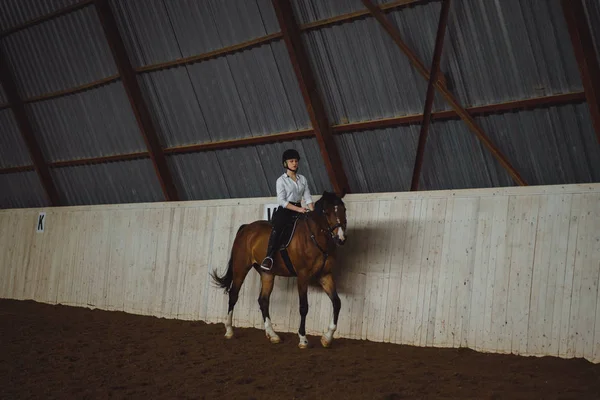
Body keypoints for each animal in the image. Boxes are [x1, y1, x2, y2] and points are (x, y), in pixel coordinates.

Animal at [210, 190, 346, 346]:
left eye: (344, 210)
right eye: (327, 212)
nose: (341, 238)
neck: (314, 237)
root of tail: (246, 228)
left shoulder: (325, 275)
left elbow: (336, 302)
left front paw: (327, 338)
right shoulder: (302, 276)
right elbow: (304, 307)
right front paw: (303, 339)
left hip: (267, 273)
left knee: (263, 300)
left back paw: (272, 334)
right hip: (240, 268)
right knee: (233, 295)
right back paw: (229, 331)